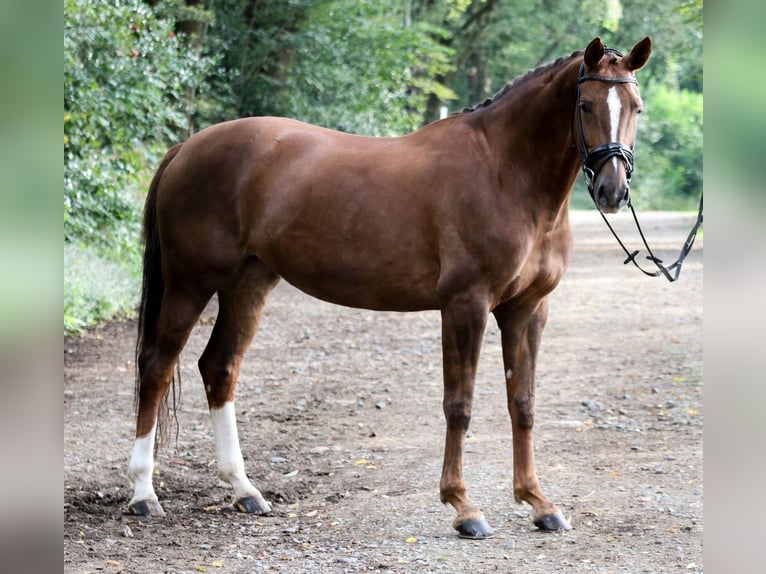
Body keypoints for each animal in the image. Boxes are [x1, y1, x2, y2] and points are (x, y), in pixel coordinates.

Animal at [127, 37, 656, 540]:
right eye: (584, 104)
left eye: (636, 107)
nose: (612, 191)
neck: (505, 172)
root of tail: (187, 148)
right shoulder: (465, 306)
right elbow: (459, 406)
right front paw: (464, 508)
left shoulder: (527, 310)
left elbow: (522, 404)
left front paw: (539, 503)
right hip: (190, 283)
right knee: (157, 367)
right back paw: (143, 495)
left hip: (248, 283)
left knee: (219, 368)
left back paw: (244, 491)